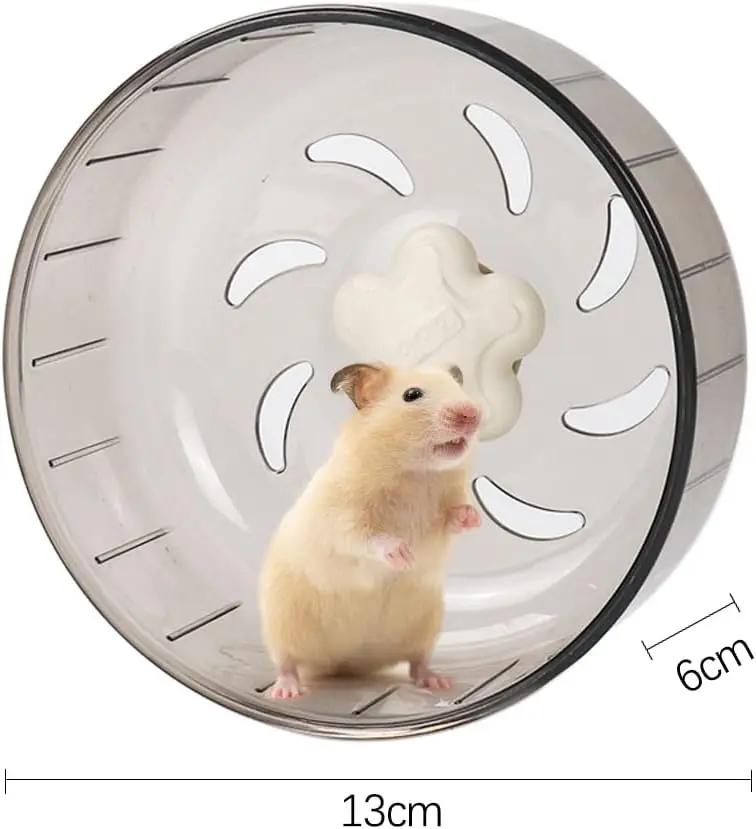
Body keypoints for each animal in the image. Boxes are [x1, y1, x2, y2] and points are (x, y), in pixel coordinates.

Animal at [259, 362, 482, 699]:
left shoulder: (446, 507)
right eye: (412, 395)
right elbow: (365, 537)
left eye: (459, 388)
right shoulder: (342, 515)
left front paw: (474, 518)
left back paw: (438, 682)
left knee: (417, 663)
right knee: (288, 663)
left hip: (426, 624)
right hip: (281, 621)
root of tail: (347, 664)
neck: (416, 472)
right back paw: (286, 692)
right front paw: (403, 555)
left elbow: (453, 517)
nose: (472, 413)